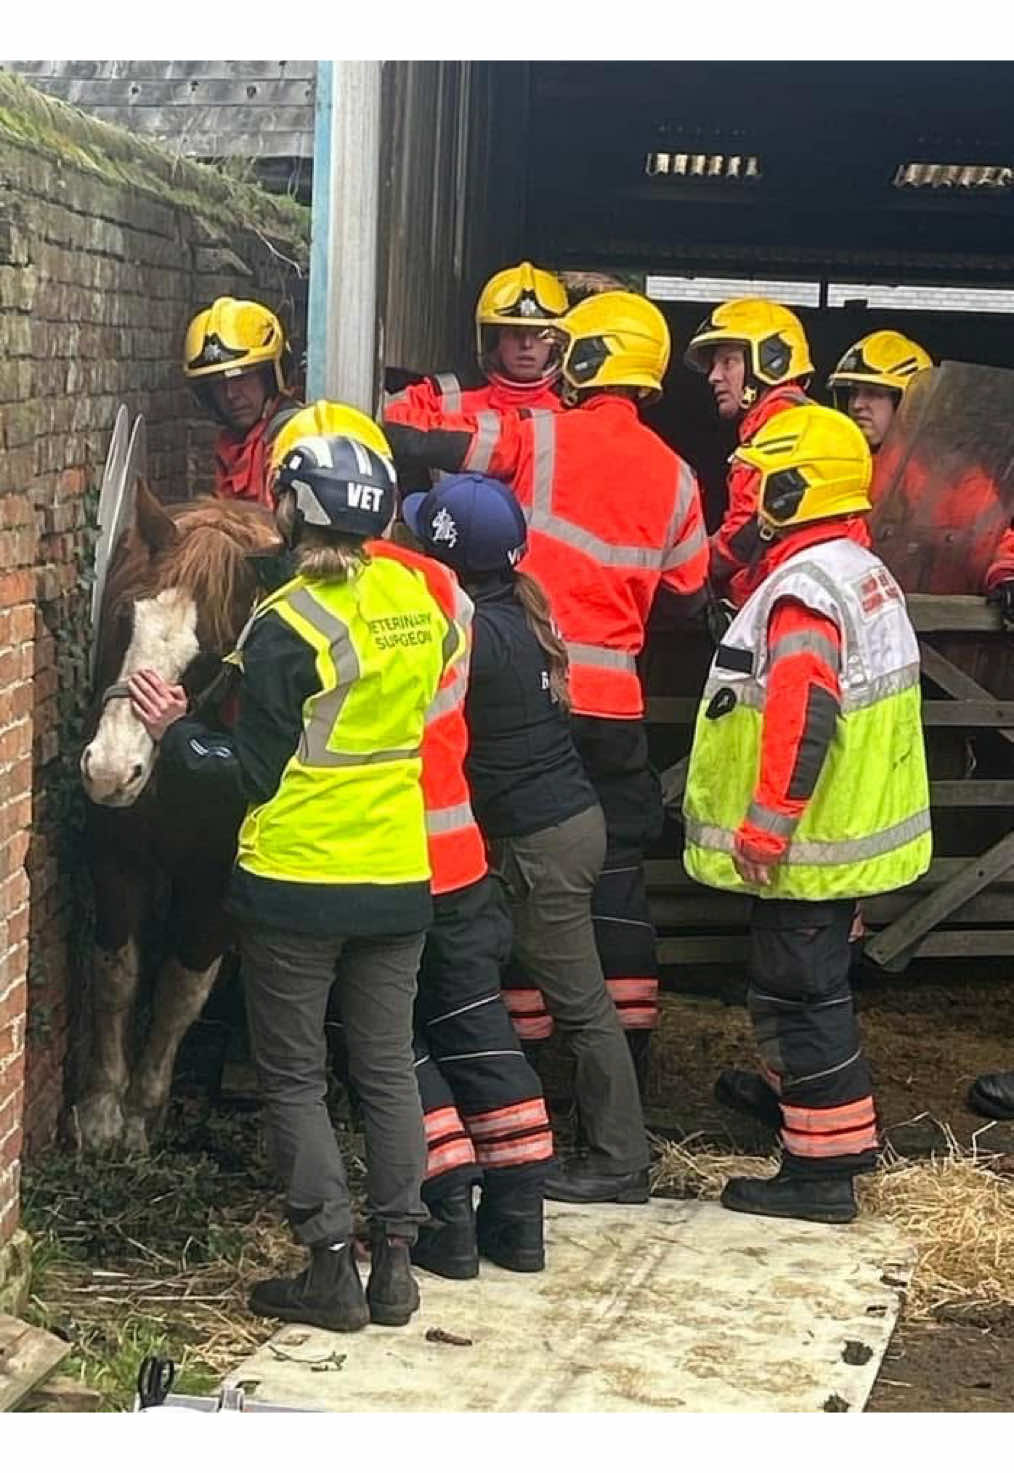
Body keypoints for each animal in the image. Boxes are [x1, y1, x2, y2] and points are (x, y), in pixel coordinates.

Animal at [76, 489, 282, 1154]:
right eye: (123, 618)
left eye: (212, 653)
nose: (113, 770)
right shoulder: (115, 856)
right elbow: (117, 972)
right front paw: (100, 1110)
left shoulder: (216, 884)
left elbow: (181, 988)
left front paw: (143, 1110)